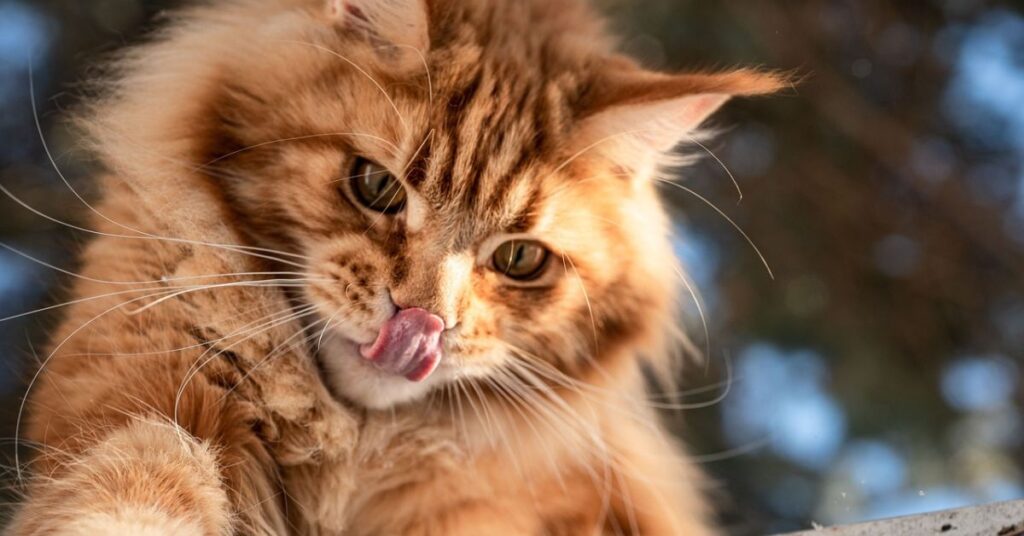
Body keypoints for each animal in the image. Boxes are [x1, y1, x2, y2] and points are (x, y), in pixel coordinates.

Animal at [8, 1, 778, 536]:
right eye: (376, 186)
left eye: (519, 258)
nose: (421, 321)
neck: (349, 446)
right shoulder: (152, 408)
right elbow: (134, 499)